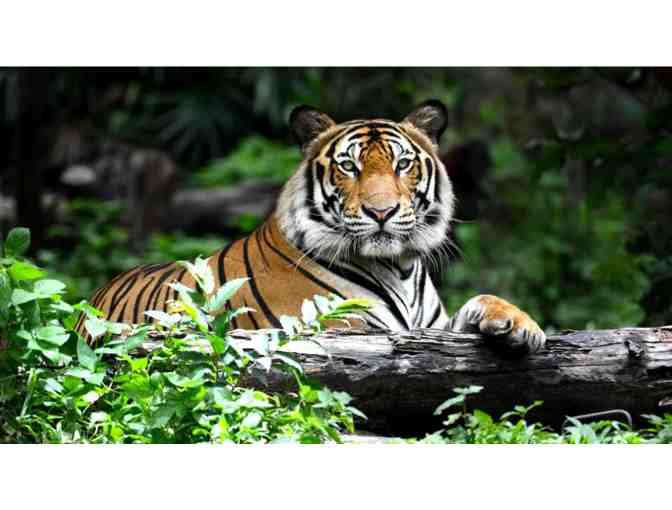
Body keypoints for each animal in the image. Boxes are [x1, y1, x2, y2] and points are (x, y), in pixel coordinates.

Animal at [79, 100, 546, 353]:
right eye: (349, 166)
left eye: (402, 164)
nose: (381, 212)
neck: (399, 268)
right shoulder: (334, 328)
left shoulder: (429, 329)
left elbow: (481, 301)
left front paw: (520, 325)